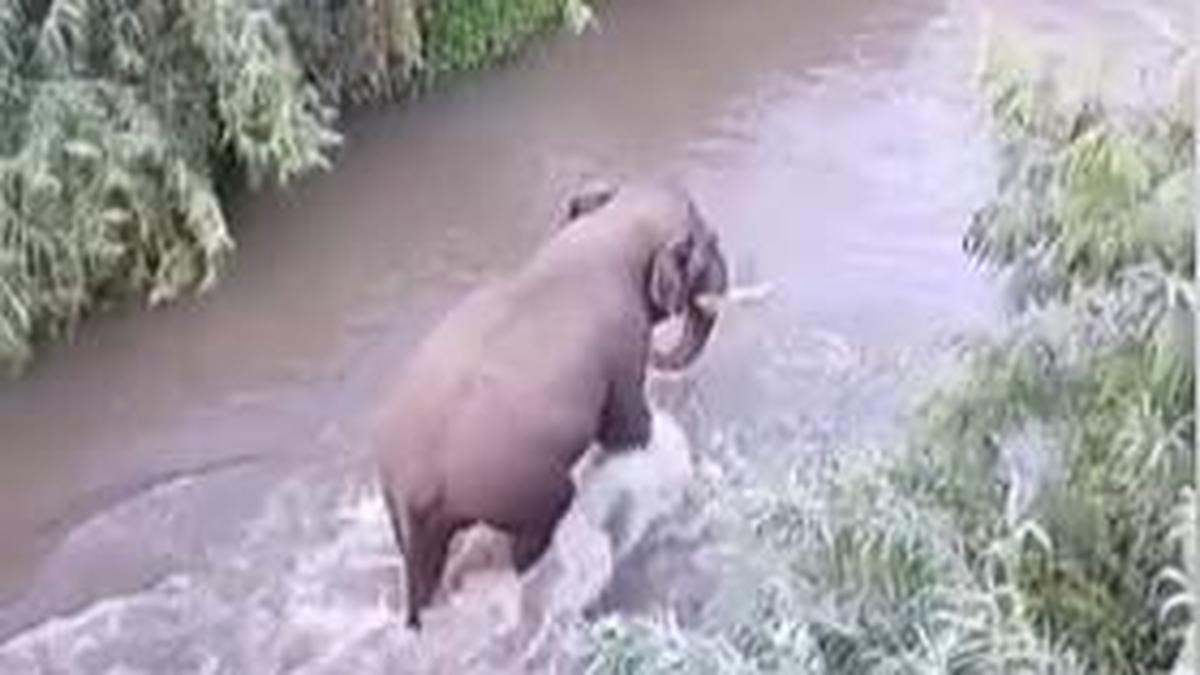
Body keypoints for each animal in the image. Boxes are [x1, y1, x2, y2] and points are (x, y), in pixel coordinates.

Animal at [371, 179, 728, 630]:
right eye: (711, 241)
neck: (607, 227)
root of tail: (418, 483)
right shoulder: (624, 343)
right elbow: (625, 426)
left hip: (400, 501)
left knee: (422, 566)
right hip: (516, 482)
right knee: (549, 513)